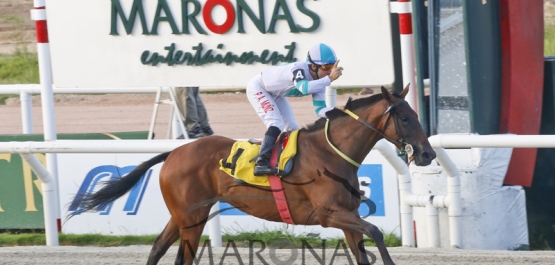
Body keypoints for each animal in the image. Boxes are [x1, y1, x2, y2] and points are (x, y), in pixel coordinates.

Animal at [67, 85, 436, 264]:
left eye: (417, 114)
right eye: (405, 118)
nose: (429, 154)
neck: (331, 152)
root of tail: (174, 152)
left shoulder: (347, 217)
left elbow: (364, 248)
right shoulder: (329, 214)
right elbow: (376, 231)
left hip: (183, 215)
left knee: (158, 248)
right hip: (192, 217)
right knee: (182, 257)